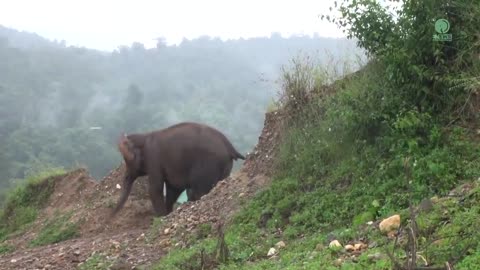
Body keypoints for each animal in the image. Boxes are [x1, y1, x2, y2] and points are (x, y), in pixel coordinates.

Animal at [109, 122, 244, 217]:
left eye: (127, 161)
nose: (110, 217)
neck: (145, 136)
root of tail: (230, 147)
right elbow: (173, 189)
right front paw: (167, 213)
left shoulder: (153, 159)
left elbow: (155, 189)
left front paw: (161, 217)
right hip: (225, 166)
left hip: (208, 165)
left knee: (199, 191)